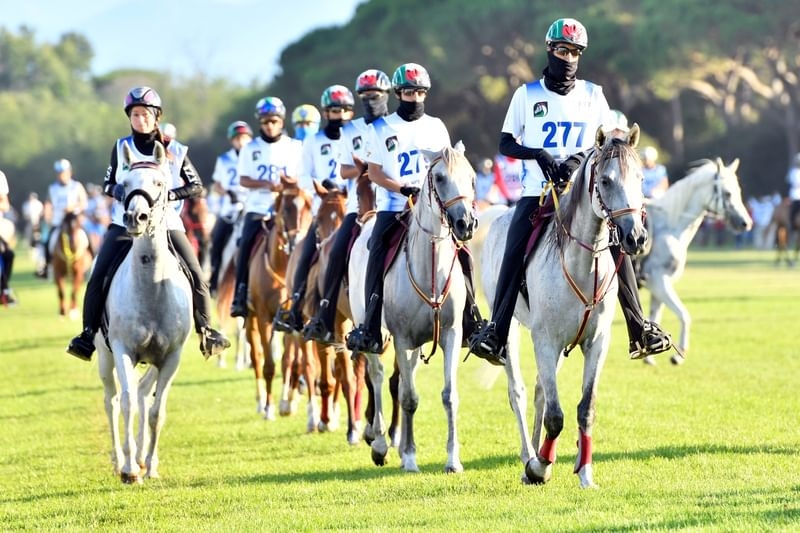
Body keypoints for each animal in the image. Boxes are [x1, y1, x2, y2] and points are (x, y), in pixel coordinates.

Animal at [94, 141, 191, 482]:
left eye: (160, 183)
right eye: (123, 185)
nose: (136, 217)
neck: (151, 289)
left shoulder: (171, 357)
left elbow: (156, 411)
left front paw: (149, 465)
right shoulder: (123, 349)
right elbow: (126, 404)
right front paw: (129, 469)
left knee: (142, 392)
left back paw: (143, 457)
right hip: (104, 355)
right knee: (112, 400)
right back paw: (120, 458)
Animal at [242, 181, 314, 418]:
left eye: (308, 207)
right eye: (286, 209)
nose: (296, 242)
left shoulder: (291, 321)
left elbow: (289, 361)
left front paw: (287, 403)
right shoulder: (264, 317)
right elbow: (268, 364)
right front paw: (269, 408)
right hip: (251, 320)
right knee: (256, 356)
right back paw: (260, 401)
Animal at [348, 143, 476, 472]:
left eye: (471, 177)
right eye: (440, 177)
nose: (466, 224)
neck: (430, 266)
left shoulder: (450, 334)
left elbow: (448, 395)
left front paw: (452, 460)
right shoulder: (402, 339)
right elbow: (408, 398)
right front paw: (408, 456)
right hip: (374, 335)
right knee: (378, 376)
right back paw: (380, 443)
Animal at [478, 124, 648, 486]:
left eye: (640, 178)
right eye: (606, 181)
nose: (635, 237)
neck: (583, 265)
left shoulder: (596, 343)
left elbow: (586, 407)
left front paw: (584, 472)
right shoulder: (545, 341)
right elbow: (556, 415)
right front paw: (539, 467)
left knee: (541, 390)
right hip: (511, 330)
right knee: (518, 391)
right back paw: (529, 456)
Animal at [636, 158, 752, 364]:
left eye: (738, 191)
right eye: (727, 193)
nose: (745, 223)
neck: (669, 228)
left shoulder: (657, 288)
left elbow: (654, 316)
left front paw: (649, 357)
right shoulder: (659, 282)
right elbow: (684, 315)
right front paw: (678, 355)